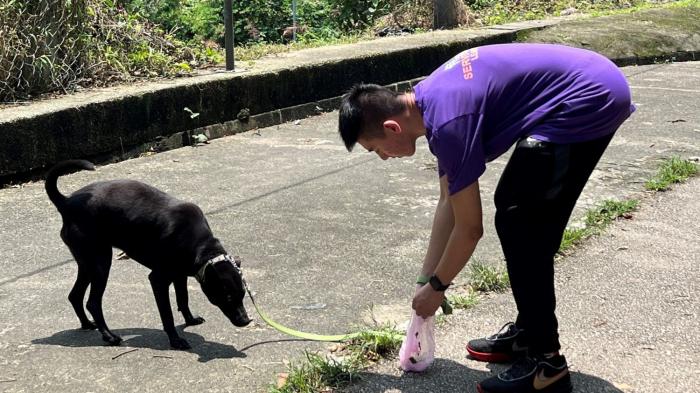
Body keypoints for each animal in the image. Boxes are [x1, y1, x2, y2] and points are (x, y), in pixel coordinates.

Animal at [45, 159, 252, 350]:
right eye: (227, 297)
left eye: (243, 294)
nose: (246, 321)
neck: (200, 246)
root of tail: (66, 202)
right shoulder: (158, 280)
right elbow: (167, 315)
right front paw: (176, 340)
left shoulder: (180, 275)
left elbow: (183, 299)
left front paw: (190, 319)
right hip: (100, 263)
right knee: (93, 302)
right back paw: (109, 336)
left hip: (88, 263)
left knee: (75, 295)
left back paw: (87, 324)